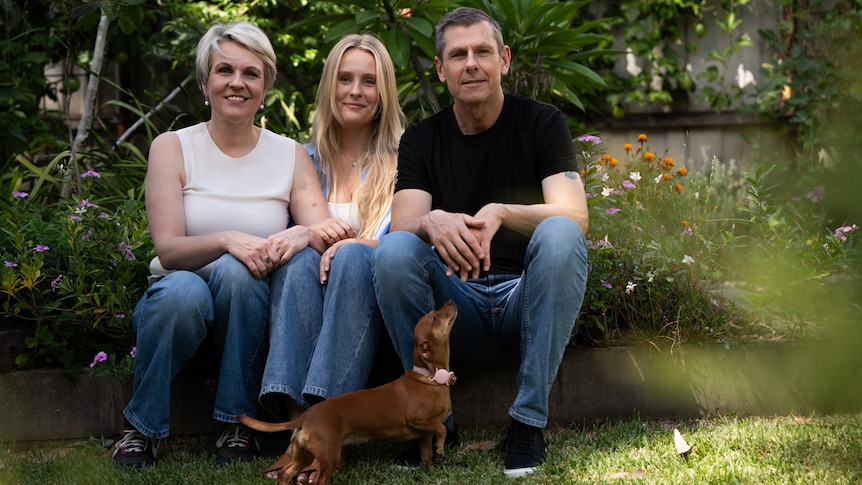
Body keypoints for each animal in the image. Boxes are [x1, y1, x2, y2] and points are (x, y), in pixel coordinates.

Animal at [241, 300, 460, 482]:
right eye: (434, 318)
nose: (451, 301)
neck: (430, 378)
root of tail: (304, 418)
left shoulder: (424, 434)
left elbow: (427, 457)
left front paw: (432, 471)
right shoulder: (418, 420)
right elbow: (441, 429)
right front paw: (441, 448)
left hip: (303, 456)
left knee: (285, 474)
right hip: (328, 457)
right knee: (319, 479)